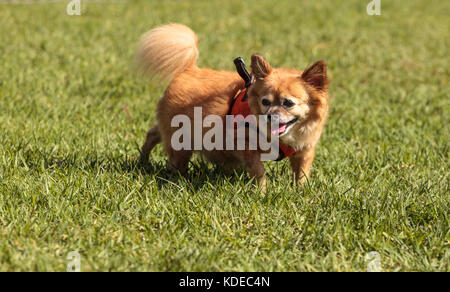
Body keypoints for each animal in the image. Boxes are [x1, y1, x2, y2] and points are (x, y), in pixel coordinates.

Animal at [135, 22, 328, 187]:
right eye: (265, 102)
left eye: (288, 103)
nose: (270, 115)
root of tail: (189, 69)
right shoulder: (247, 147)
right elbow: (259, 171)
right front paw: (262, 192)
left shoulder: (304, 150)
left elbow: (301, 174)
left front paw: (301, 192)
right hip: (181, 141)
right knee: (174, 158)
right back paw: (173, 176)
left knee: (153, 133)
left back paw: (143, 160)